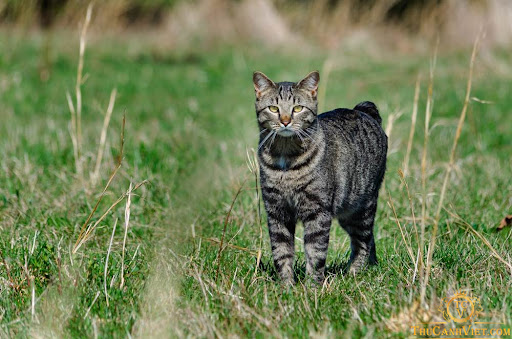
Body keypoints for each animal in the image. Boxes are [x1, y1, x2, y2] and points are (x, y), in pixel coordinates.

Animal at [252, 71, 388, 284]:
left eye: (298, 108)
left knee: (363, 242)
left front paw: (312, 287)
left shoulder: (318, 212)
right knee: (369, 239)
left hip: (362, 208)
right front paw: (286, 286)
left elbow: (315, 252)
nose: (285, 121)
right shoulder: (276, 212)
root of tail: (362, 109)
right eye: (273, 108)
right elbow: (281, 252)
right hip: (347, 213)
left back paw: (354, 273)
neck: (285, 158)